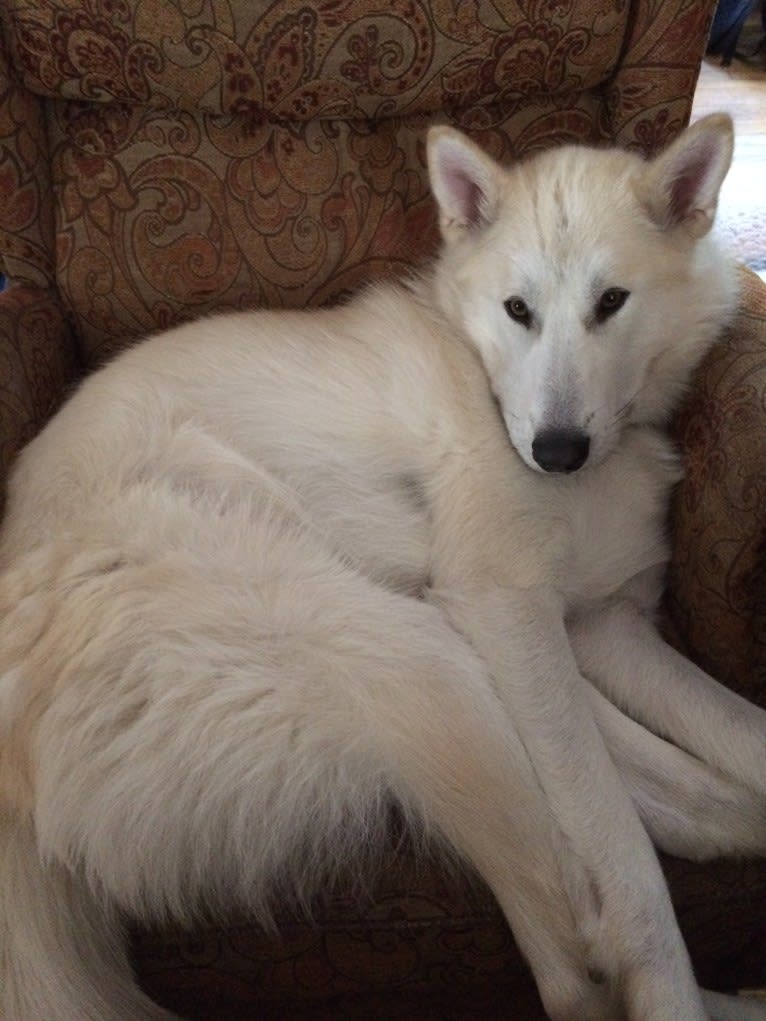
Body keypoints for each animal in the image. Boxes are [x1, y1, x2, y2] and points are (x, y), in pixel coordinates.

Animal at [1, 113, 766, 1021]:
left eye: (611, 302)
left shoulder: (605, 625)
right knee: (570, 960)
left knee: (678, 808)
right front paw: (667, 991)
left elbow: (734, 730)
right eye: (518, 310)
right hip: (409, 643)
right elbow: (628, 865)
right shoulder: (508, 607)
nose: (555, 452)